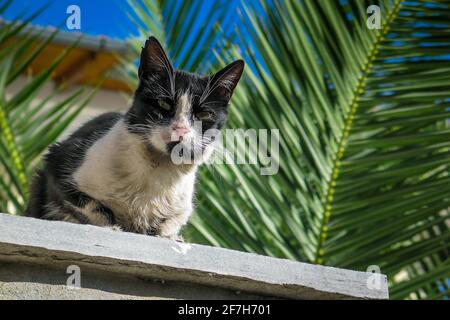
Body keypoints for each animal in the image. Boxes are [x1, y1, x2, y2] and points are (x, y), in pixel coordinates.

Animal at [26, 36, 244, 241]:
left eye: (203, 114)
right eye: (164, 104)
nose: (180, 129)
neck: (158, 170)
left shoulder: (182, 210)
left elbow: (169, 224)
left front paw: (171, 237)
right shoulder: (58, 166)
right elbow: (96, 209)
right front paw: (113, 227)